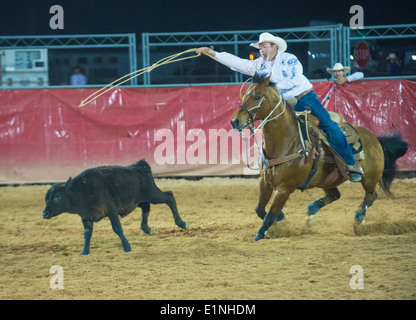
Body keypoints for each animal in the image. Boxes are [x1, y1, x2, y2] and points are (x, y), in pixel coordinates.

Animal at [231, 74, 410, 241]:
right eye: (244, 94)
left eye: (257, 97)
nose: (235, 121)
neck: (289, 141)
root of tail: (375, 139)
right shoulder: (265, 182)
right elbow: (260, 209)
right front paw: (280, 218)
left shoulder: (284, 189)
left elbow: (270, 215)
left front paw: (260, 234)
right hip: (328, 180)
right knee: (335, 195)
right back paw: (311, 213)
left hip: (370, 179)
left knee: (371, 197)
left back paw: (359, 218)